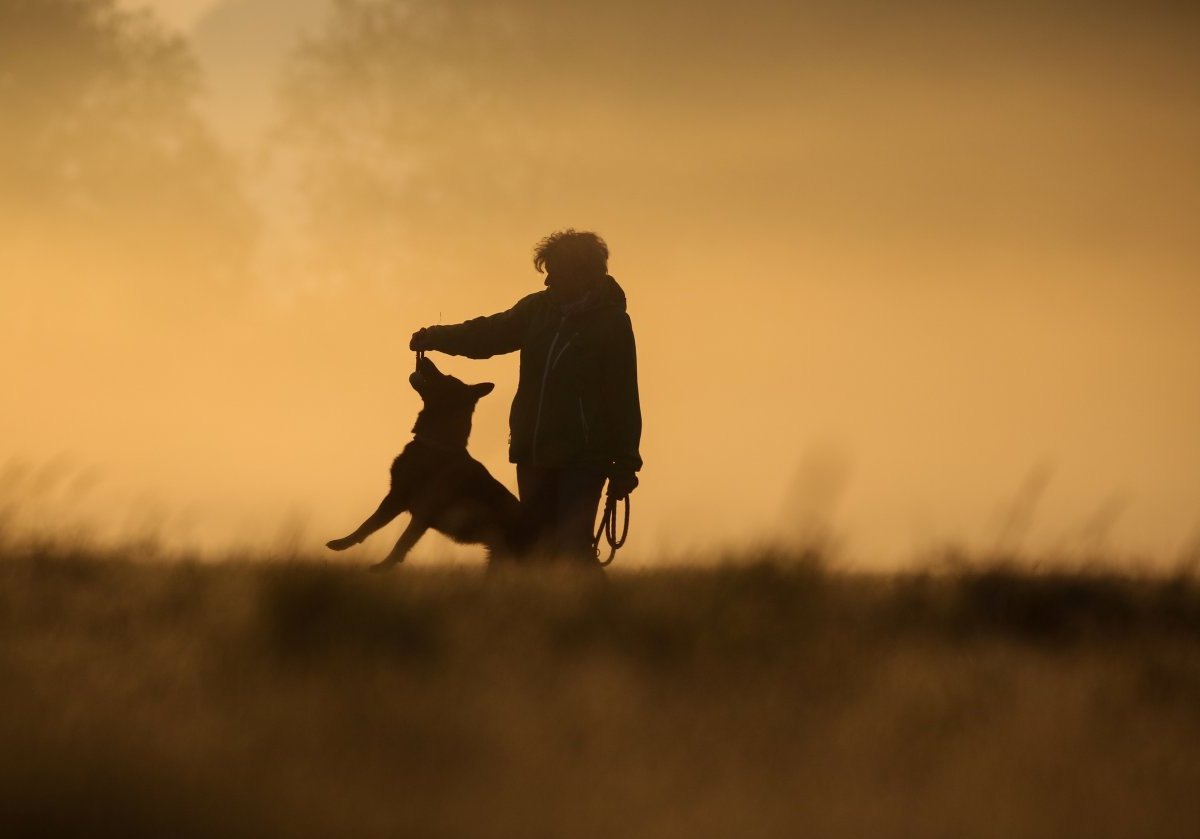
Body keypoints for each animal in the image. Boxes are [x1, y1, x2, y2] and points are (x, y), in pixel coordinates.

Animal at [328, 355, 535, 571]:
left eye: (447, 377)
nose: (424, 357)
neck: (436, 442)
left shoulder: (419, 510)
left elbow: (401, 542)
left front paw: (382, 568)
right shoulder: (396, 497)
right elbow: (369, 524)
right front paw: (343, 543)